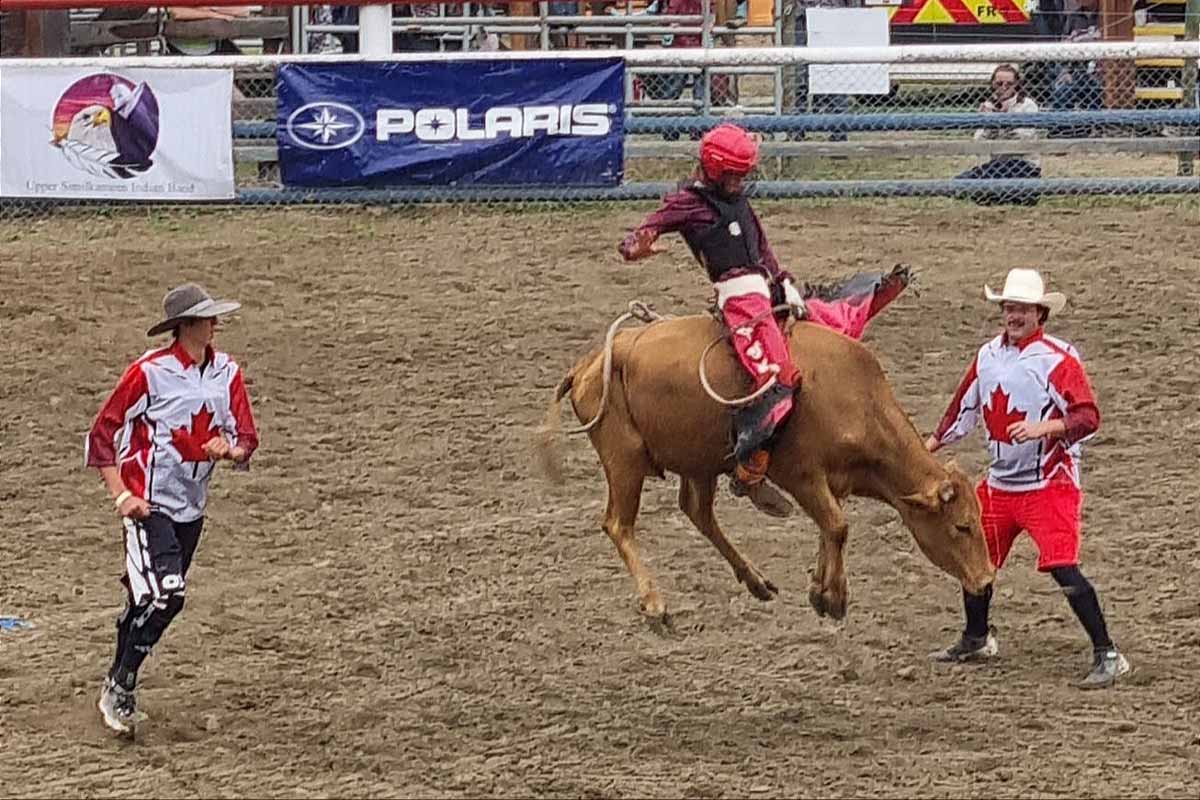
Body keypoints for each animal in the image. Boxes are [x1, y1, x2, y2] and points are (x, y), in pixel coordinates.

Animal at [537, 268, 993, 618]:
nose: (986, 580)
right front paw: (832, 597)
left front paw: (820, 586)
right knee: (619, 524)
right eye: (962, 526)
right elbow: (837, 525)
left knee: (697, 512)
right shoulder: (800, 473)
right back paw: (655, 604)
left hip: (698, 459)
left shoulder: (830, 482)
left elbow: (830, 527)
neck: (854, 397)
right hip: (624, 458)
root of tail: (588, 364)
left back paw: (755, 580)